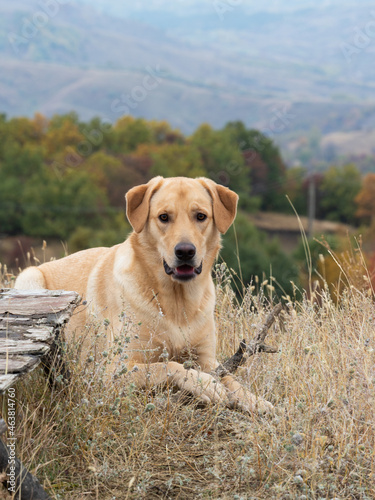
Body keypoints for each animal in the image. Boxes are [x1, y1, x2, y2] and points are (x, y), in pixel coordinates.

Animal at [14, 178, 274, 412]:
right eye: (164, 217)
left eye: (200, 216)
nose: (185, 251)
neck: (177, 302)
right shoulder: (112, 371)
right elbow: (168, 366)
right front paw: (206, 385)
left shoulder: (207, 358)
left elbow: (231, 378)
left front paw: (255, 400)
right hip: (31, 280)